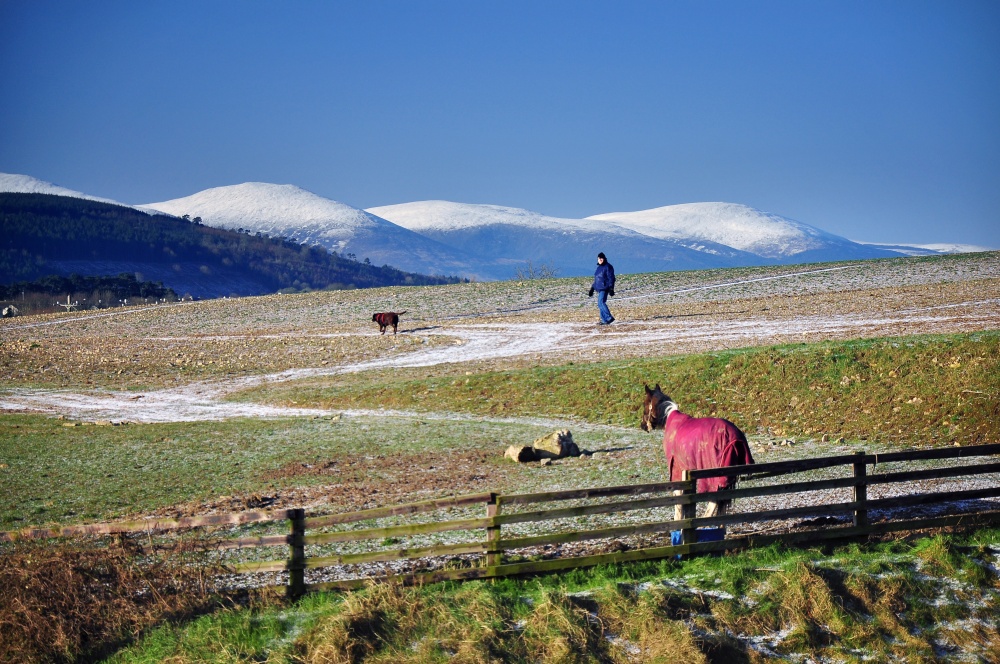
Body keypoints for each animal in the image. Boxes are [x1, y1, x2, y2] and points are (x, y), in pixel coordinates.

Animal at [644, 384, 752, 520]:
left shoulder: (676, 471)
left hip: (714, 479)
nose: (643, 426)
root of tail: (735, 438)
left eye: (645, 404)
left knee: (714, 501)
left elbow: (678, 504)